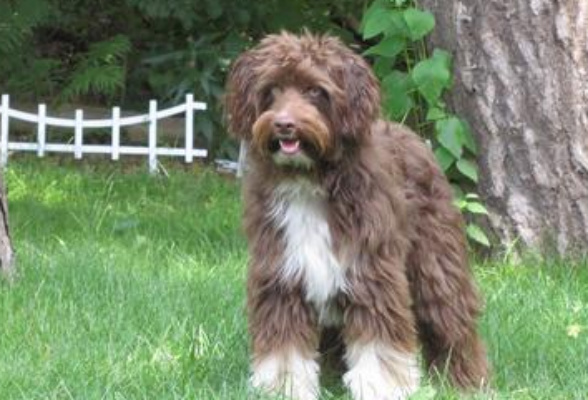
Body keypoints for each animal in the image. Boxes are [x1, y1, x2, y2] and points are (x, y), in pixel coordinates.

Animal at [224, 32, 486, 400]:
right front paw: (284, 387)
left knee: (451, 319)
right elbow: (285, 348)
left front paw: (382, 386)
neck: (309, 181)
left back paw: (465, 381)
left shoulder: (371, 272)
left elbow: (379, 346)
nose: (284, 124)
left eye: (315, 90)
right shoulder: (280, 277)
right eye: (272, 90)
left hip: (436, 264)